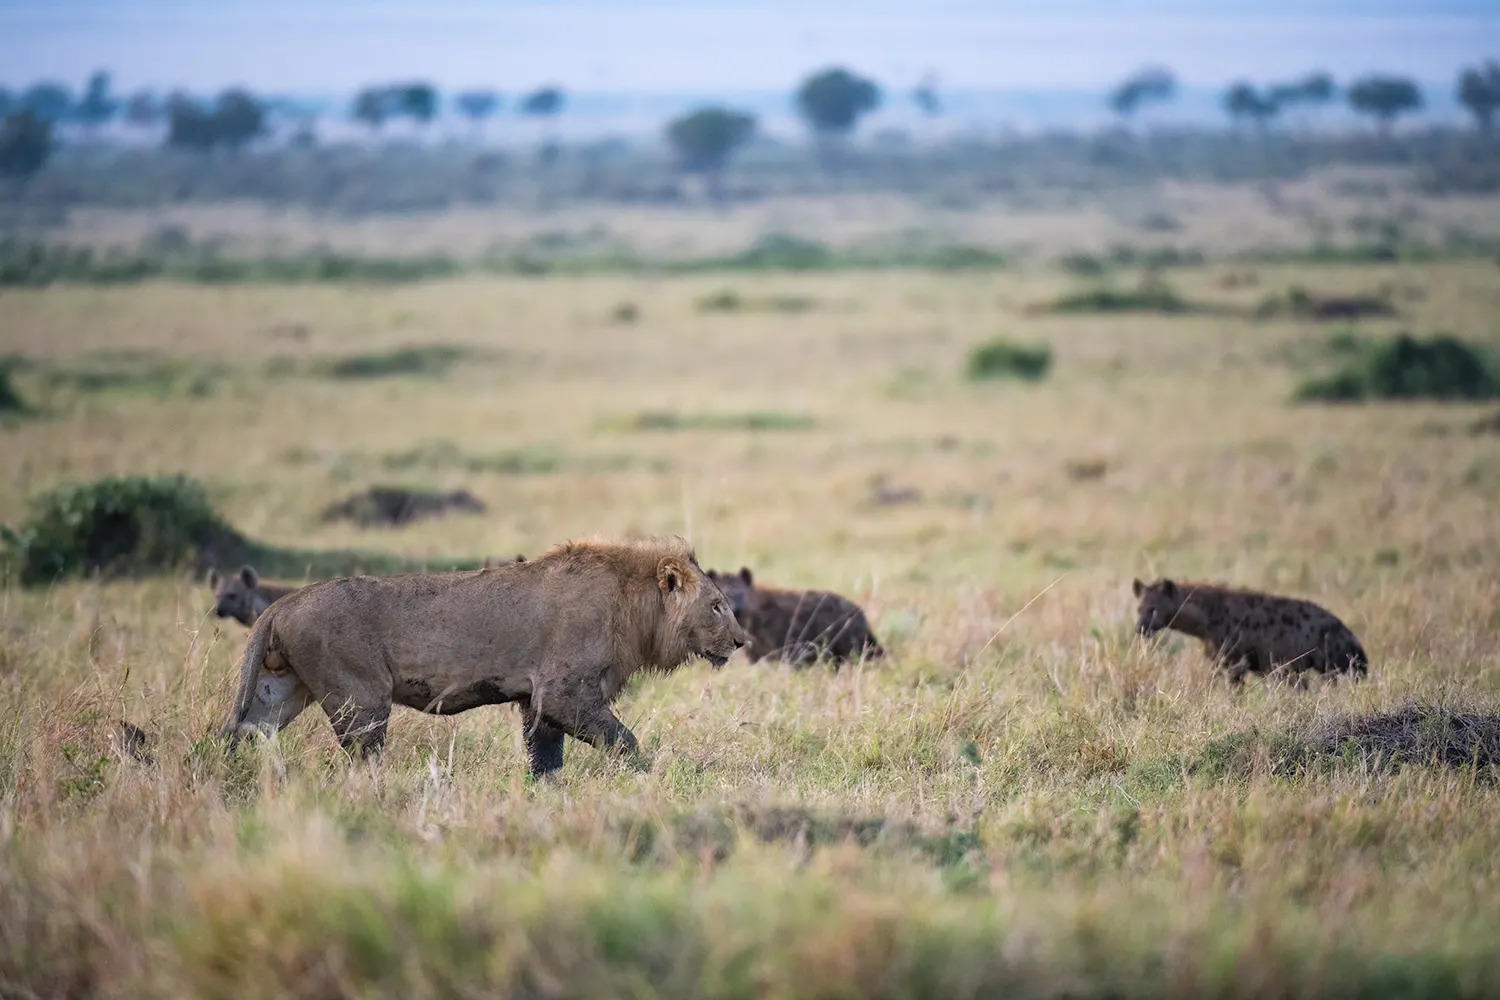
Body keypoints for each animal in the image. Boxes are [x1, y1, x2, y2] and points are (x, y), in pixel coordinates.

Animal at [219, 536, 747, 779]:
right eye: (718, 605)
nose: (742, 642)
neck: (634, 607)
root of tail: (281, 604)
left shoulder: (538, 701)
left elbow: (546, 760)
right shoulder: (564, 692)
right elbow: (625, 741)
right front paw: (647, 777)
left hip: (278, 691)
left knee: (240, 732)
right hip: (360, 698)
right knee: (362, 756)